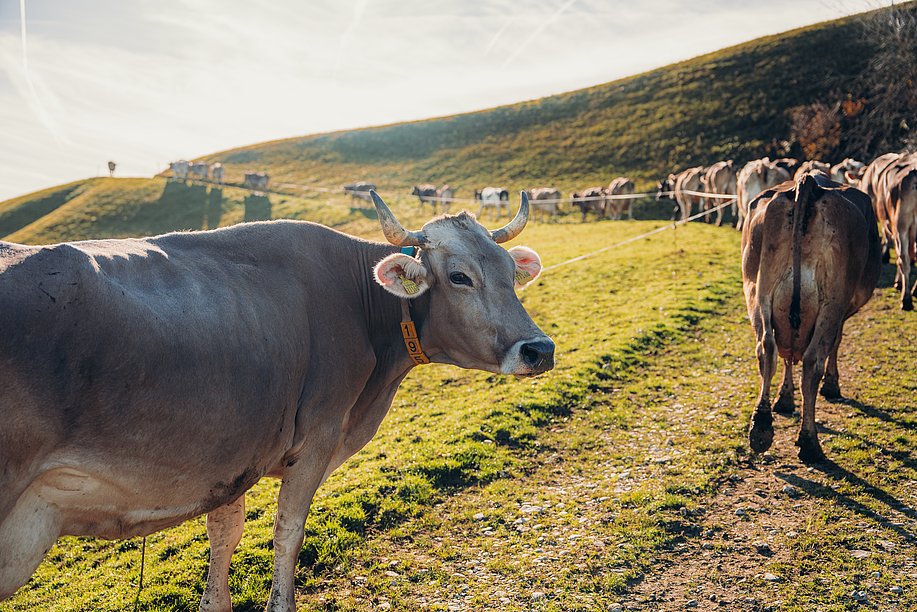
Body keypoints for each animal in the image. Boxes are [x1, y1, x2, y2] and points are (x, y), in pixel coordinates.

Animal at [0, 191, 552, 608]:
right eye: (459, 276)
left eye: (511, 271)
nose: (539, 349)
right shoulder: (317, 440)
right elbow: (288, 533)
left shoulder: (232, 456)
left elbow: (224, 536)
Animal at [740, 175, 884, 462]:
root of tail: (809, 183)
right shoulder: (840, 312)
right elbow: (836, 343)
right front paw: (831, 385)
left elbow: (786, 355)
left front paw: (784, 399)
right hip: (831, 302)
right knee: (811, 362)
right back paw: (809, 443)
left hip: (758, 289)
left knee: (767, 348)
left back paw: (761, 428)